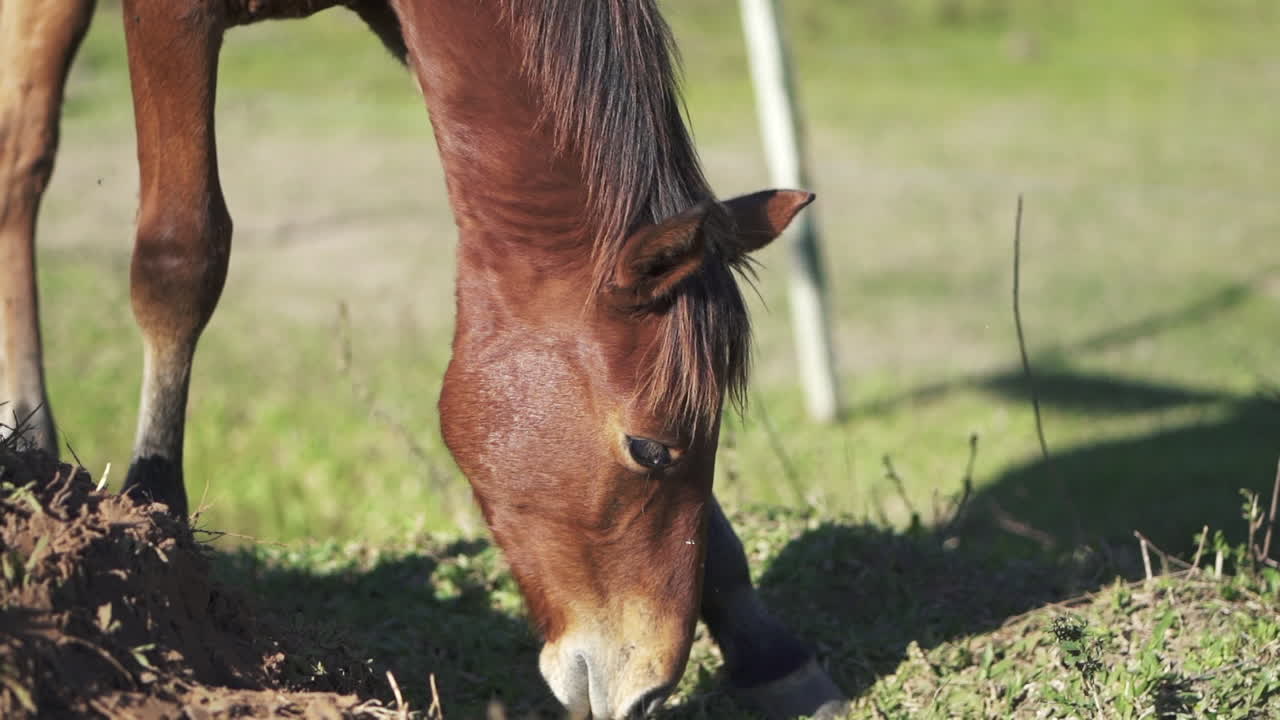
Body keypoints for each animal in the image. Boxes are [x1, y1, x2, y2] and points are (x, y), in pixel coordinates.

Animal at [0, 1, 846, 717]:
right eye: (648, 449)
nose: (648, 690)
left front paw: (766, 649)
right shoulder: (169, 18)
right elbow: (182, 255)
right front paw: (157, 518)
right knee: (26, 168)